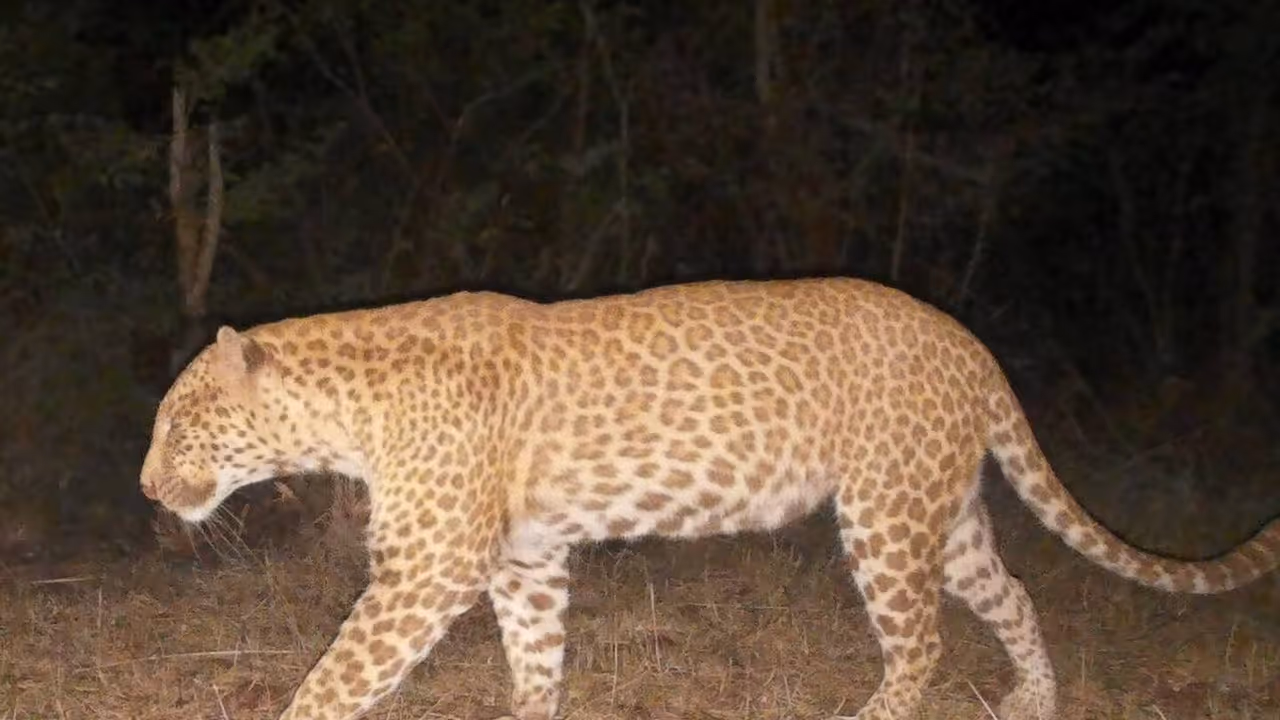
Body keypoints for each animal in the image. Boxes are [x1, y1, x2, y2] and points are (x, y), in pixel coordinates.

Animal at [140, 277, 1280, 720]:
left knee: (919, 643)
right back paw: (1033, 701)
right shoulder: (524, 558)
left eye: (178, 426)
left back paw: (871, 716)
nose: (145, 486)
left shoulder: (427, 568)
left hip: (882, 516)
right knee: (1012, 597)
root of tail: (967, 340)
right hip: (940, 514)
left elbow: (336, 677)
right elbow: (535, 662)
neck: (347, 411)